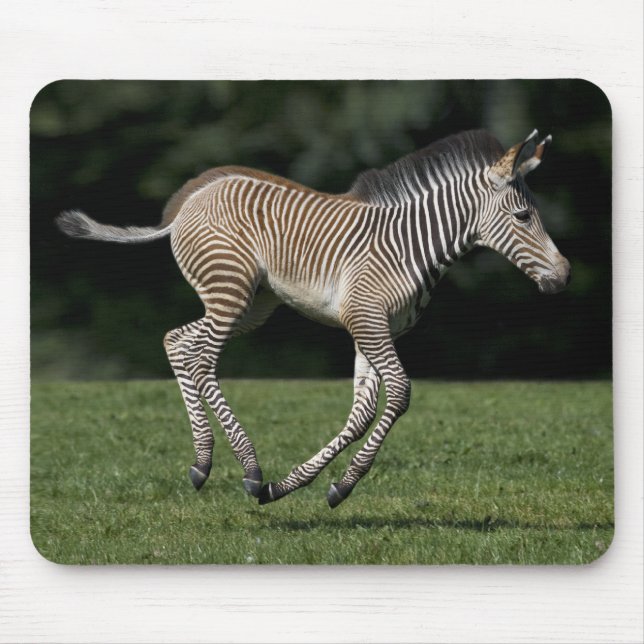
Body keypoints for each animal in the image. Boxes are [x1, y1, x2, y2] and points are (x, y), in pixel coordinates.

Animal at [56, 128, 571, 508]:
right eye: (524, 217)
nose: (564, 276)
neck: (412, 246)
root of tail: (188, 203)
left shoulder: (373, 328)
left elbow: (362, 412)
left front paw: (310, 486)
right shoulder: (367, 320)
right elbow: (400, 394)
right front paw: (327, 485)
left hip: (252, 304)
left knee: (176, 341)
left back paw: (203, 464)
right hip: (230, 291)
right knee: (200, 358)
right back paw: (247, 467)